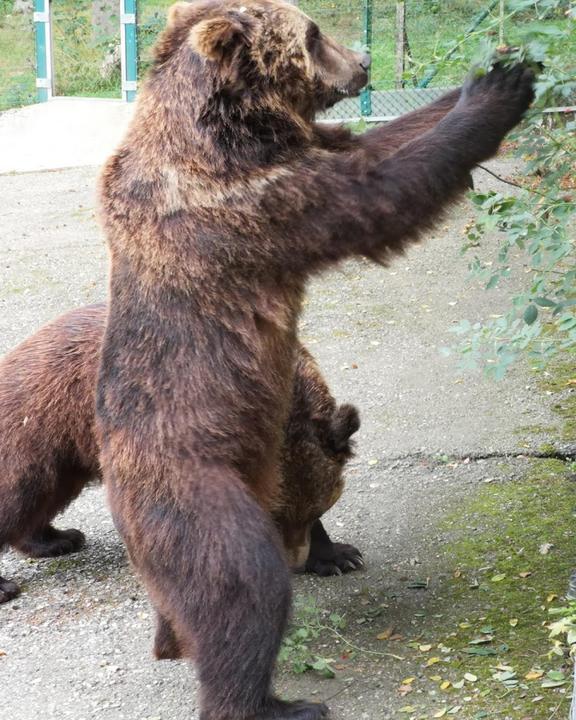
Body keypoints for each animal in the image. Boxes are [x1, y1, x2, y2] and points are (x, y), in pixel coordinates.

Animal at [95, 1, 536, 716]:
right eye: (313, 32)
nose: (363, 60)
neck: (234, 133)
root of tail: (124, 505)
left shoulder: (302, 153)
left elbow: (374, 142)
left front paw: (498, 66)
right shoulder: (249, 205)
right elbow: (378, 194)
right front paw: (496, 94)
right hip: (202, 494)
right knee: (245, 591)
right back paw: (279, 700)